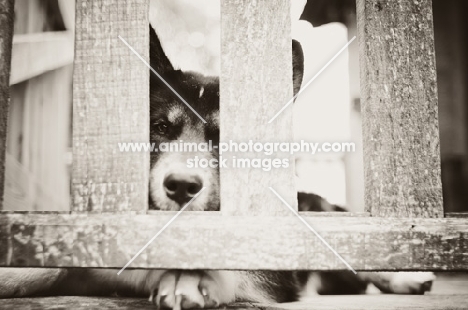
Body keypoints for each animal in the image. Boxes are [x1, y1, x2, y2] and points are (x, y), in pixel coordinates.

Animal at [0, 25, 436, 308]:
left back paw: (405, 277)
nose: (181, 186)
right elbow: (50, 269)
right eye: (160, 127)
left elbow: (232, 264)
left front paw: (190, 276)